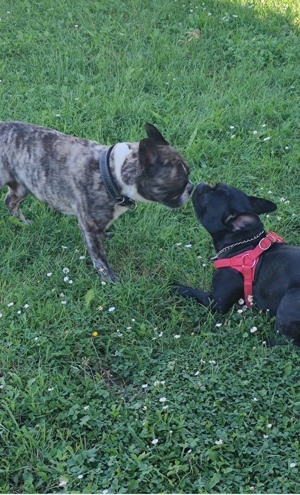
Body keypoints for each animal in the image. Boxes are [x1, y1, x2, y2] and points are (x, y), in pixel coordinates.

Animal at [173, 183, 300, 348]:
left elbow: (193, 293)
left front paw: (176, 287)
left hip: (288, 302)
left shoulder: (215, 302)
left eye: (205, 196)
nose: (201, 184)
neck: (243, 243)